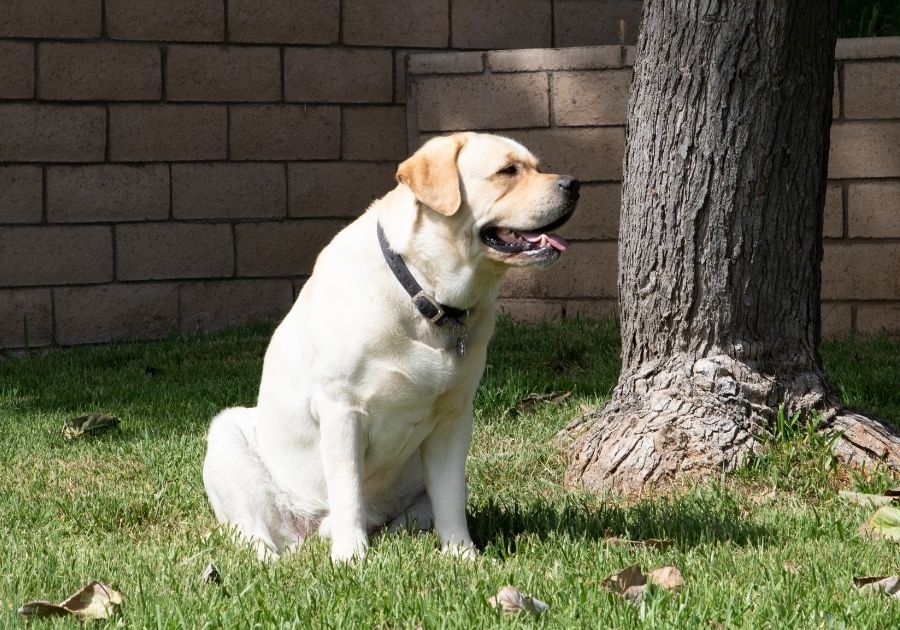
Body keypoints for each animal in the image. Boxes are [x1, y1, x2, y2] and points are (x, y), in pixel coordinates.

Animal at [203, 133, 580, 564]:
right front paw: (350, 558)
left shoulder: (455, 416)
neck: (423, 293)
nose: (574, 184)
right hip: (227, 439)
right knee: (251, 532)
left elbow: (450, 496)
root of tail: (307, 531)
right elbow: (348, 491)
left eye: (537, 166)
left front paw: (462, 554)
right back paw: (273, 558)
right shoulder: (341, 409)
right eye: (508, 171)